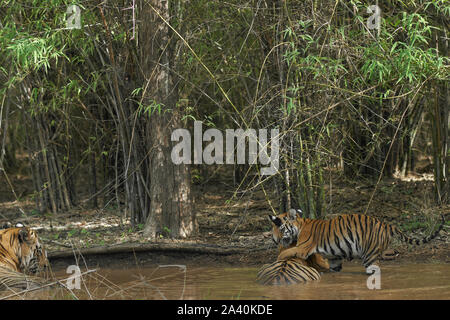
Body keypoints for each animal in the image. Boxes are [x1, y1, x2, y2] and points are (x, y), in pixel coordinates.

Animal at [268, 209, 444, 274]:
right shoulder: (334, 258)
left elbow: (285, 253)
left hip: (369, 255)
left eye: (278, 227)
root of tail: (385, 224)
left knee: (374, 270)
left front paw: (277, 261)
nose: (274, 239)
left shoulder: (302, 248)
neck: (299, 225)